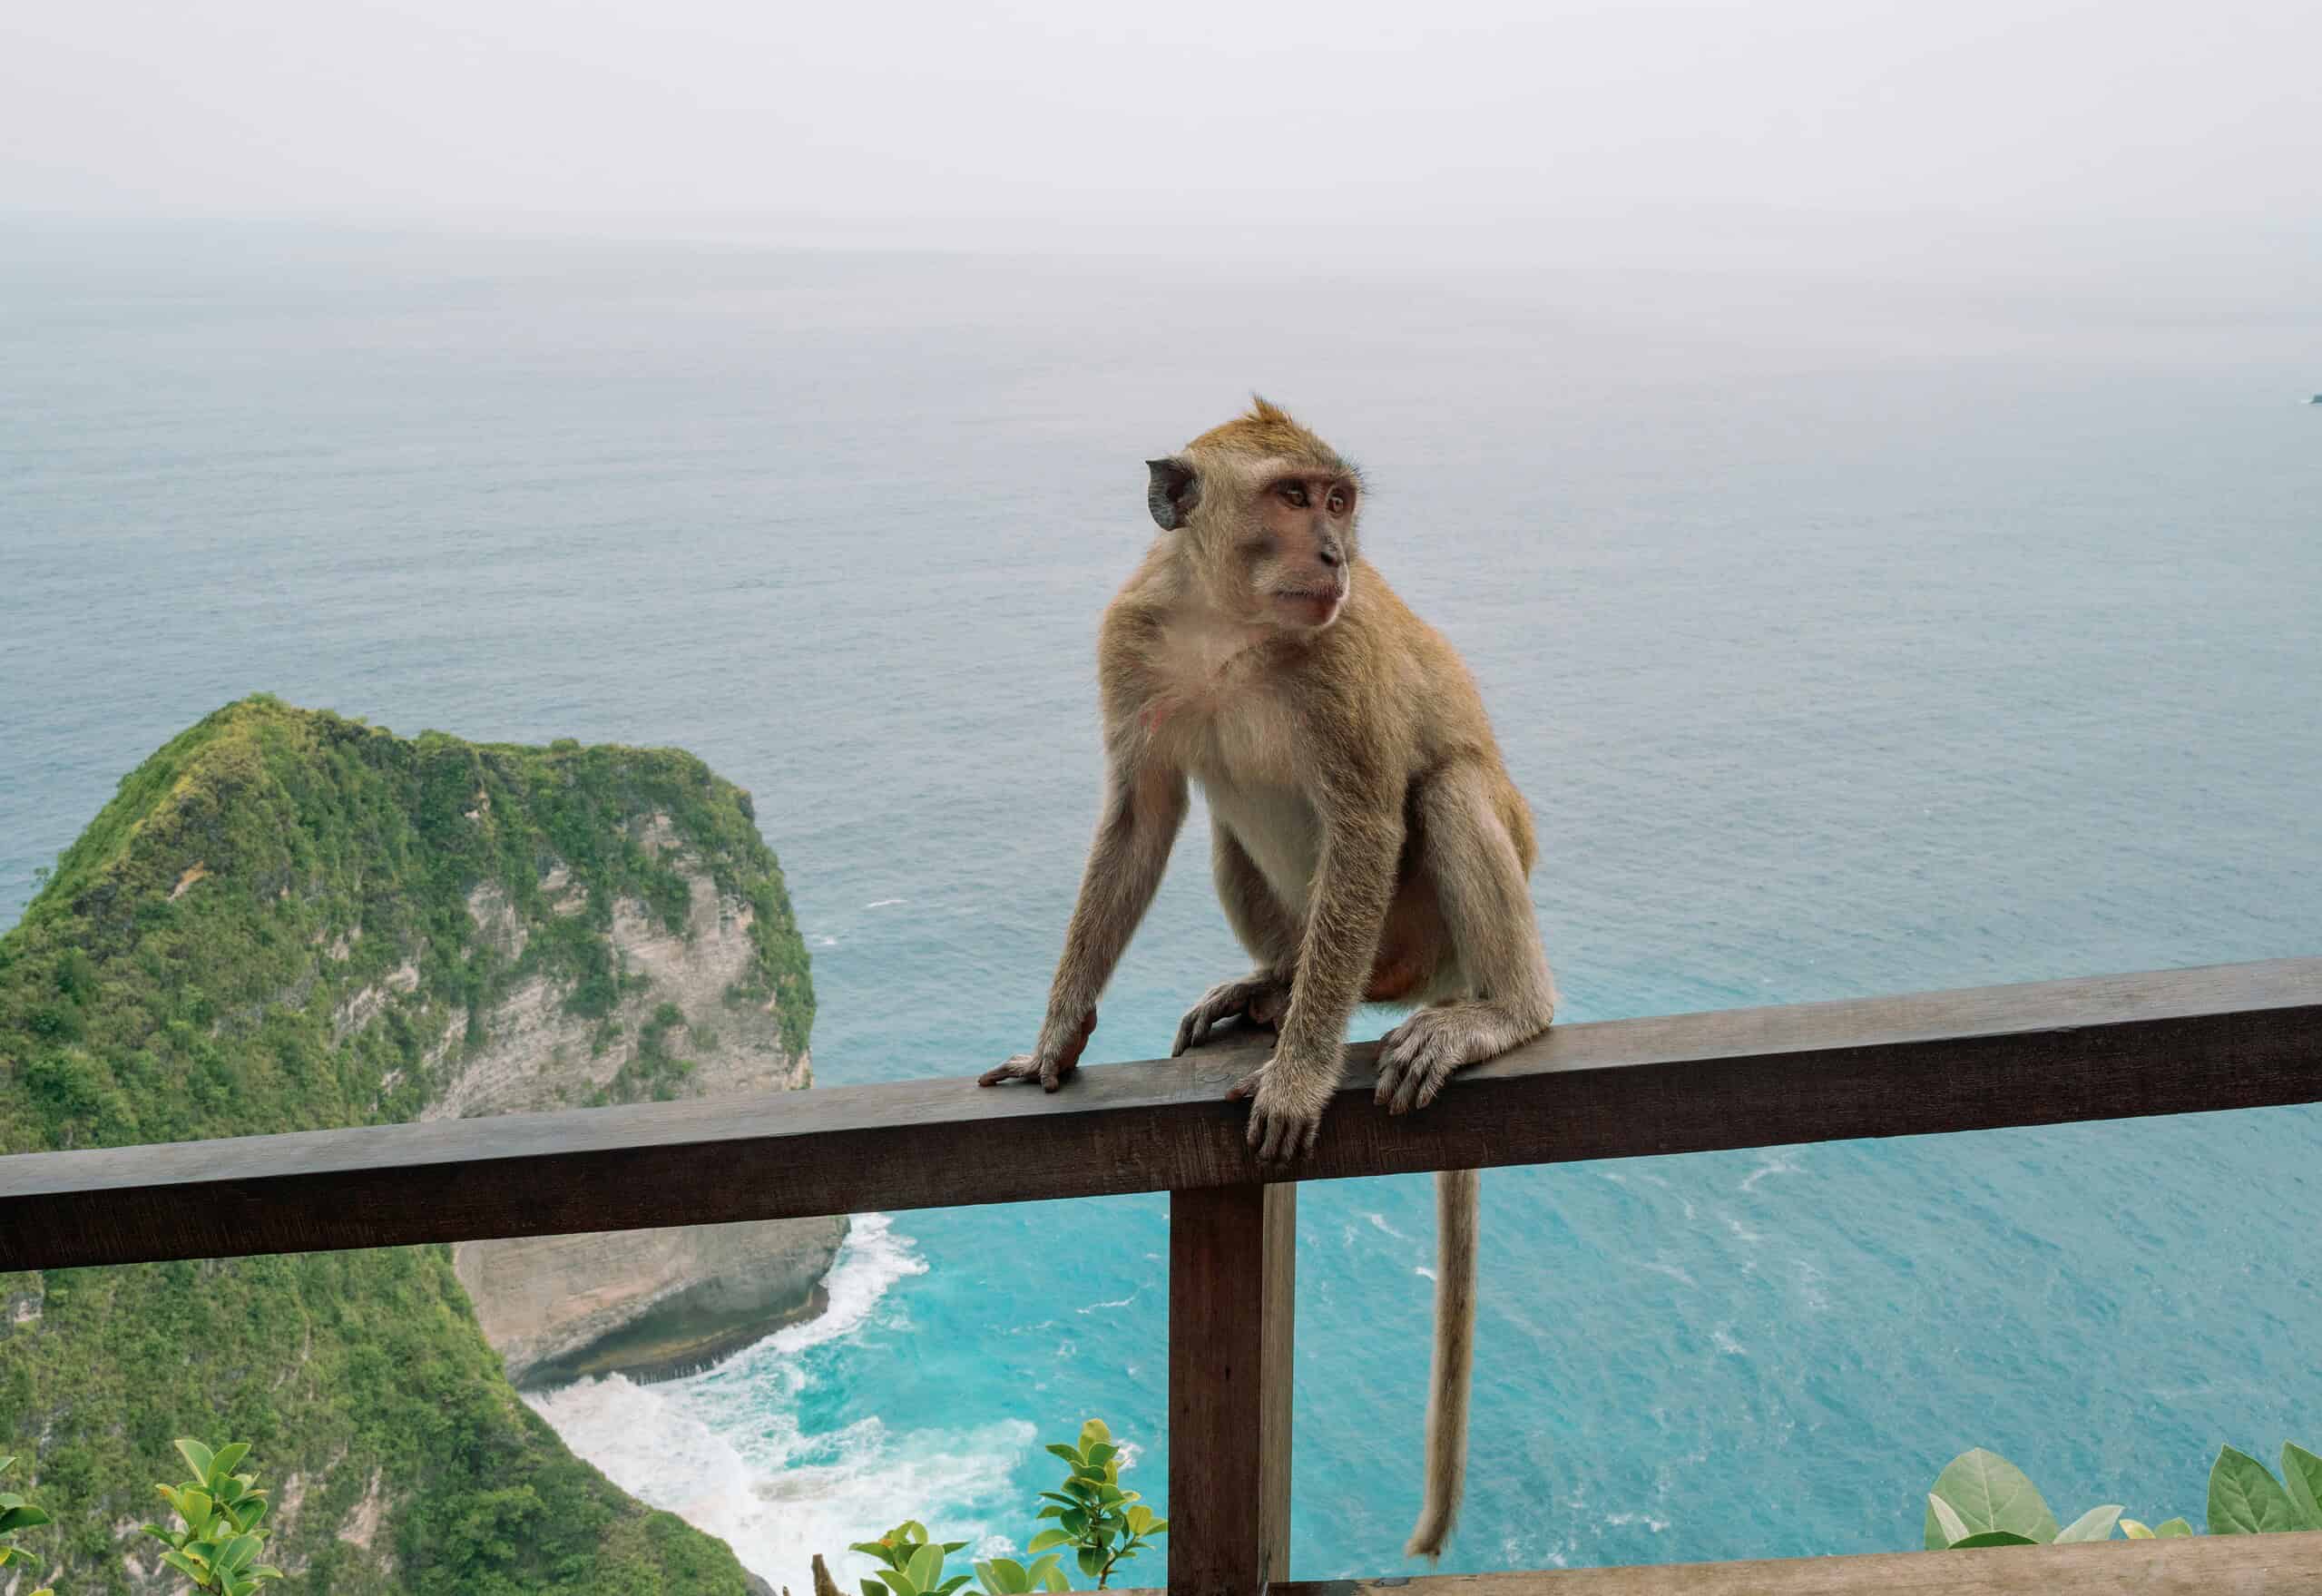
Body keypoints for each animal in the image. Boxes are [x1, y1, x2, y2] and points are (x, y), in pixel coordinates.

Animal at [979, 397, 1557, 1558]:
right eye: (1293, 497)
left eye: (1337, 500)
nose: (1337, 552)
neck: (1226, 622)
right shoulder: (1131, 641)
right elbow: (1142, 813)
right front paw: (1057, 1033)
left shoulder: (1342, 656)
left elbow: (1369, 822)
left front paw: (1297, 1079)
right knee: (1220, 815)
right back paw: (1275, 986)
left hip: (1425, 933)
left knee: (1447, 791)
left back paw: (1487, 1014)